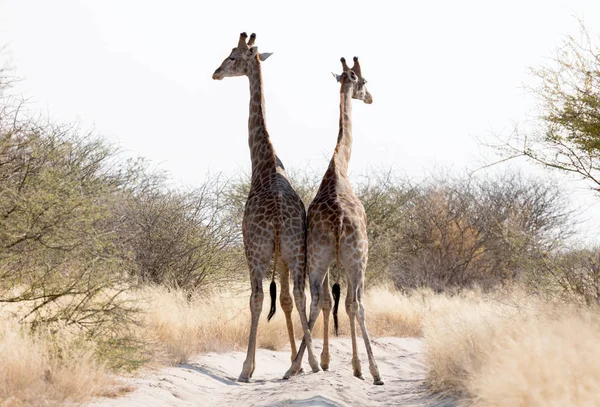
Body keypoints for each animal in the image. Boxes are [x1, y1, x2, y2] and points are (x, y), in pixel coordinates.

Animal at [211, 31, 316, 382]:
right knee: (301, 294)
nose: (215, 72)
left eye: (232, 56)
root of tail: (281, 218)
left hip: (258, 252)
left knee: (256, 297)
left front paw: (250, 366)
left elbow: (262, 300)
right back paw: (306, 363)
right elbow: (285, 301)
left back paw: (246, 369)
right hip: (296, 250)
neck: (266, 163)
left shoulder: (251, 246)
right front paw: (299, 361)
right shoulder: (283, 255)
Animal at [284, 56, 382, 386]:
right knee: (356, 304)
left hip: (317, 257)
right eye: (364, 81)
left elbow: (327, 301)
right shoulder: (352, 259)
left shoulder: (324, 260)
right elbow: (348, 305)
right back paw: (374, 372)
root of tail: (339, 218)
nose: (371, 98)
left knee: (315, 298)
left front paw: (326, 361)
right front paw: (354, 366)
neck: (339, 167)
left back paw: (294, 367)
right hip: (357, 258)